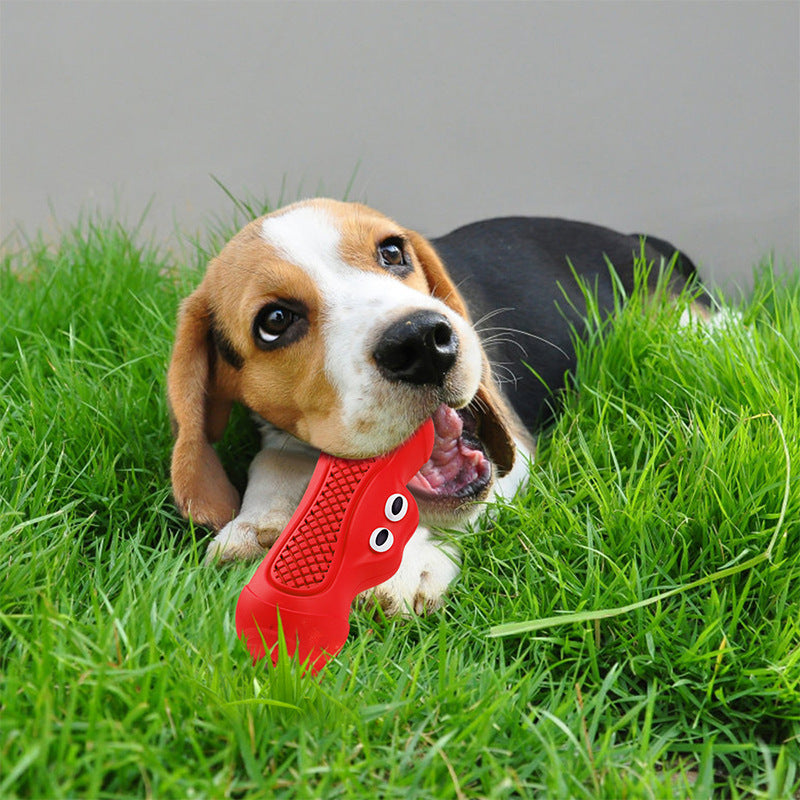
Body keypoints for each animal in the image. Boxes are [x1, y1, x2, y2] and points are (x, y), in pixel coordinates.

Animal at [166, 198, 704, 612]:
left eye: (391, 251)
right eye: (275, 321)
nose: (422, 341)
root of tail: (637, 239)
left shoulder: (515, 458)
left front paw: (411, 562)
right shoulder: (279, 437)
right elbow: (273, 460)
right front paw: (257, 525)